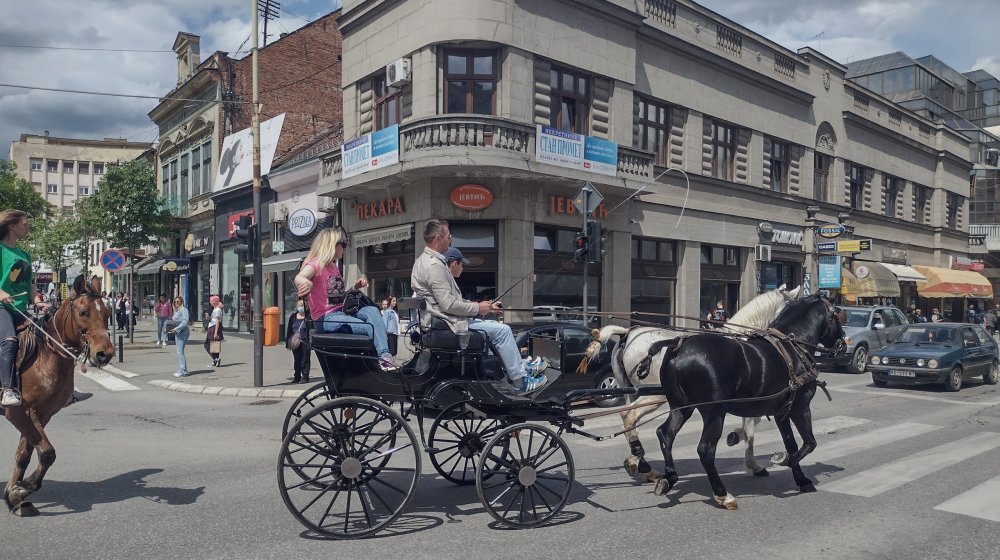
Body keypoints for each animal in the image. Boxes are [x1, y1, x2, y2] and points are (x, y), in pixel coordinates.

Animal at [2, 276, 114, 516]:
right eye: (83, 312)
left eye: (107, 312)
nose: (105, 354)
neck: (45, 356)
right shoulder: (19, 412)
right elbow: (46, 452)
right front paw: (22, 490)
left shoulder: (43, 414)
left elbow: (24, 454)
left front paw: (14, 495)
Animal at [580, 284, 804, 482]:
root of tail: (628, 334)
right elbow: (750, 429)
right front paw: (751, 461)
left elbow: (751, 426)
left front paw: (739, 443)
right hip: (654, 395)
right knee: (629, 416)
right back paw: (642, 463)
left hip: (633, 392)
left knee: (629, 421)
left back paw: (641, 464)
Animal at [652, 296, 840, 510]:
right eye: (837, 314)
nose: (843, 341)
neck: (793, 347)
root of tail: (679, 346)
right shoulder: (800, 408)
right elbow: (809, 443)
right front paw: (786, 461)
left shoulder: (782, 413)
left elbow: (791, 444)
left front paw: (800, 478)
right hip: (714, 413)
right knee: (705, 449)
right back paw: (722, 494)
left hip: (681, 408)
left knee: (665, 435)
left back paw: (669, 477)